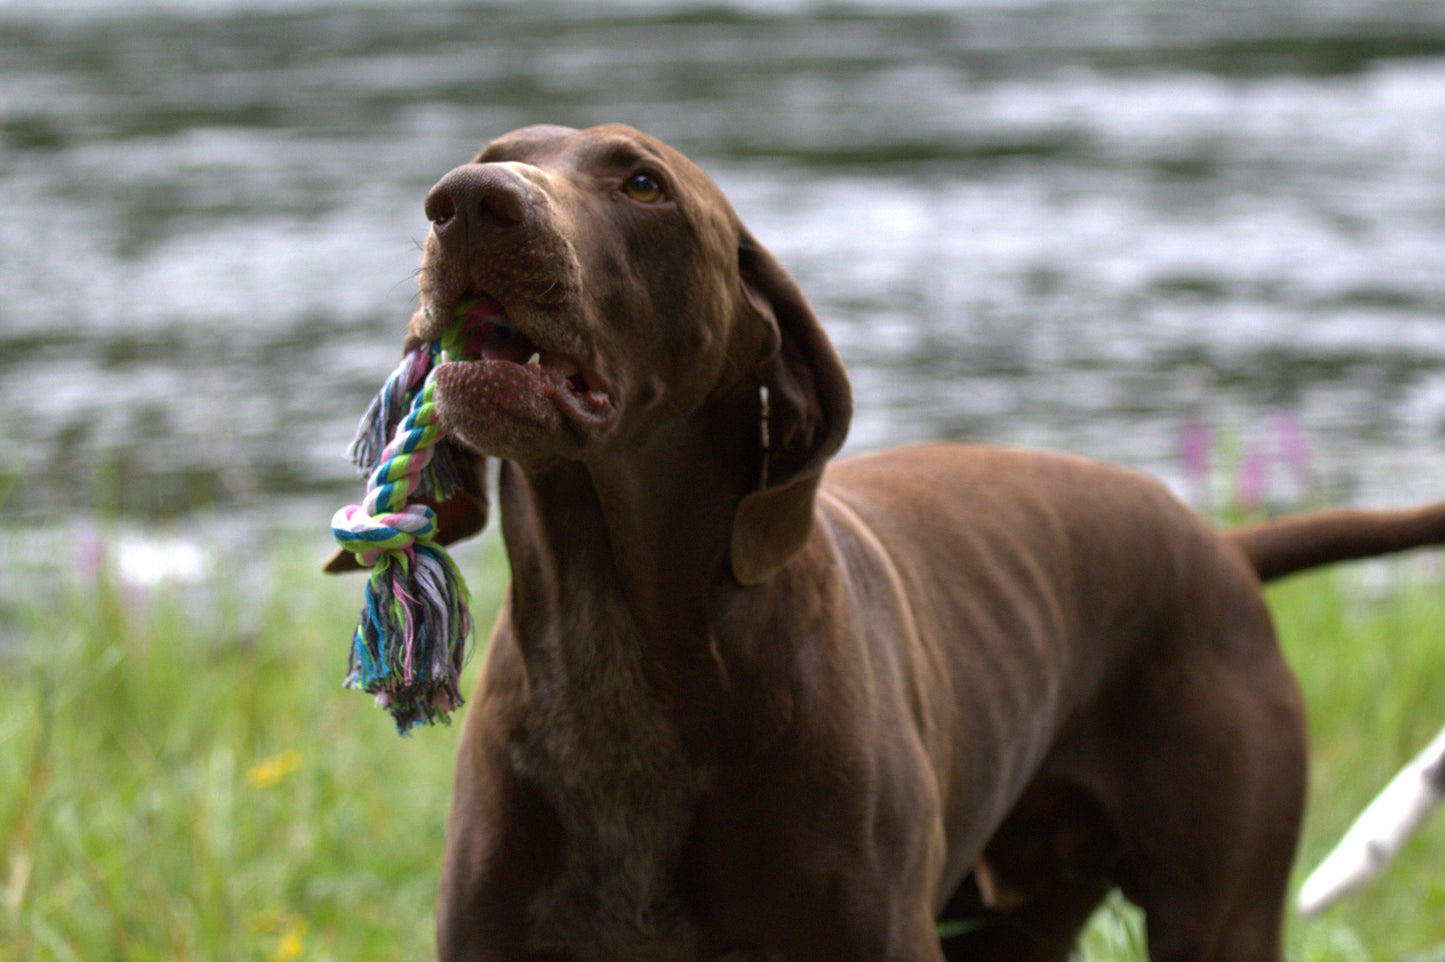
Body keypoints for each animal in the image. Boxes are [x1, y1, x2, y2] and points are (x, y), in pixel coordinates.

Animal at [332, 123, 1445, 953]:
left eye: (641, 183)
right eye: (494, 152)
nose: (463, 201)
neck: (619, 638)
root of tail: (1219, 546)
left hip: (1215, 912)